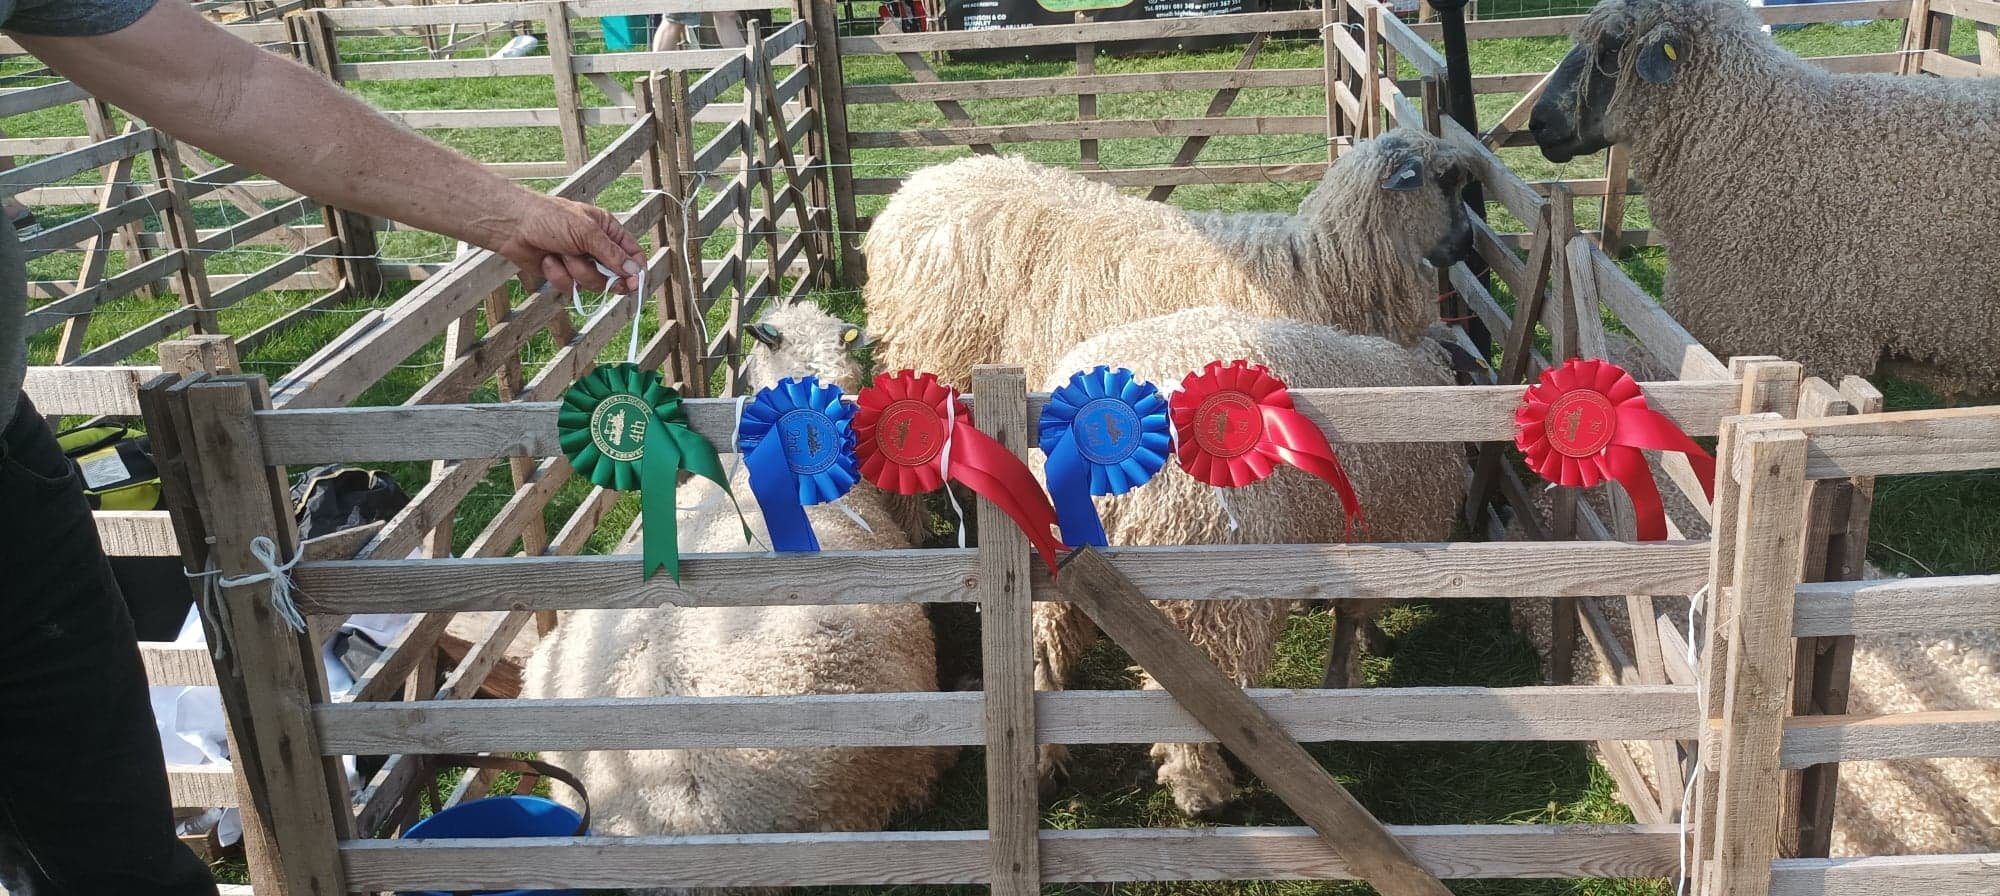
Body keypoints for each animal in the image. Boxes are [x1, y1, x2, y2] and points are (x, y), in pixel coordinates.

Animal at [1031, 306, 1468, 817]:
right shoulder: (1380, 543)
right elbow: (1350, 616)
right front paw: (1347, 674)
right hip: (1208, 585)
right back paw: (1200, 789)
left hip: (1055, 576)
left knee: (1044, 660)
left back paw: (1042, 766)